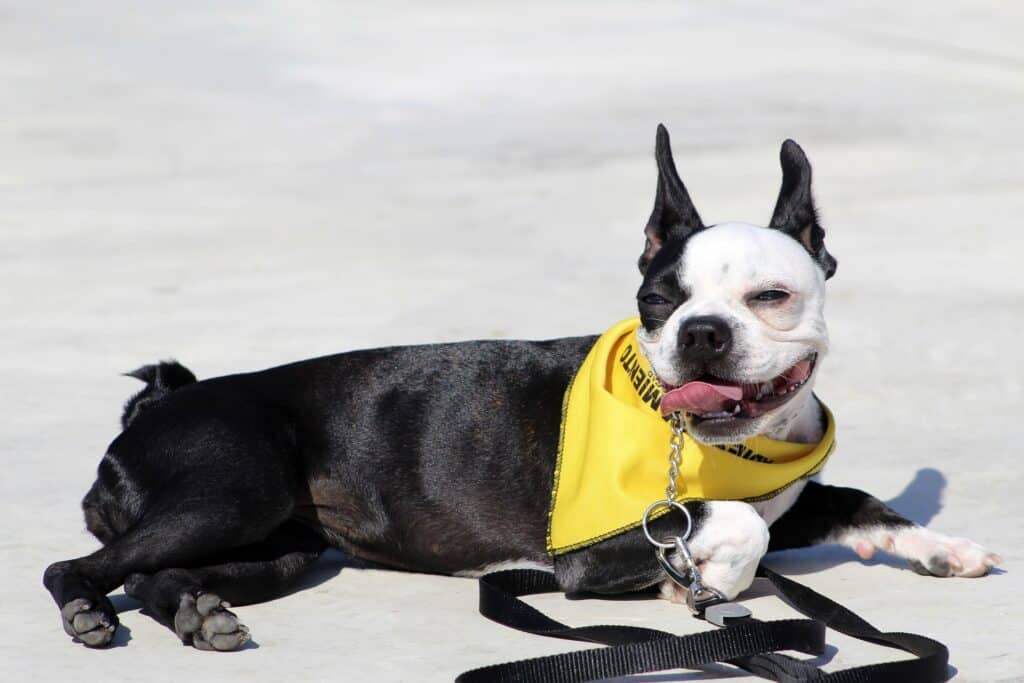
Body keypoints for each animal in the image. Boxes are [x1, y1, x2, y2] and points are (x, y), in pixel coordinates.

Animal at [44, 125, 995, 655]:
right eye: (659, 301)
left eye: (771, 296)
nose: (701, 331)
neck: (713, 447)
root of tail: (159, 403)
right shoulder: (596, 548)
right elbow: (732, 526)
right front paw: (697, 582)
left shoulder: (791, 498)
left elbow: (853, 500)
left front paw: (940, 546)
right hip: (232, 488)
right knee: (78, 566)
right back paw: (91, 613)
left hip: (277, 546)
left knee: (160, 574)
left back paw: (197, 615)